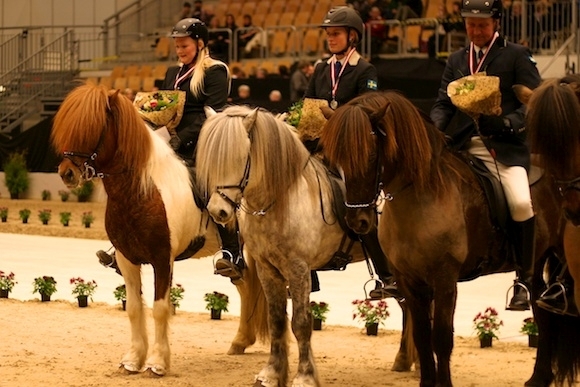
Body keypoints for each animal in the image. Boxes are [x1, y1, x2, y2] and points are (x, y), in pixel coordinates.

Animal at [49, 83, 268, 378]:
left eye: (92, 126)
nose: (67, 174)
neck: (142, 191)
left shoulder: (163, 260)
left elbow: (160, 308)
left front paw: (157, 363)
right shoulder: (127, 260)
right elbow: (133, 308)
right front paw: (132, 360)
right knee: (245, 286)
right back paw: (240, 342)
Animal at [320, 89, 576, 386]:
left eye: (372, 155)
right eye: (335, 159)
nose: (357, 221)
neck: (419, 196)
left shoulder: (444, 279)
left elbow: (441, 339)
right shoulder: (409, 281)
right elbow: (422, 337)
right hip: (538, 260)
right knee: (543, 314)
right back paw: (538, 378)